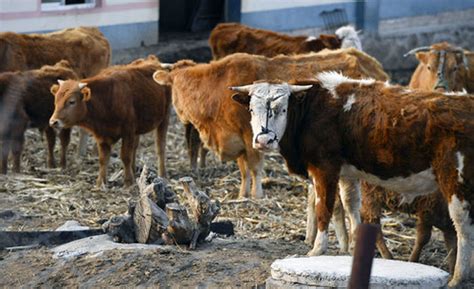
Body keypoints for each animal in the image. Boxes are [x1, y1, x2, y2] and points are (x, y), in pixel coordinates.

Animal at [50, 56, 171, 187]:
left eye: (71, 101)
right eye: (56, 100)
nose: (53, 122)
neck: (106, 98)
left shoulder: (128, 131)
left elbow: (125, 156)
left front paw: (128, 182)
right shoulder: (102, 136)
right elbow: (103, 159)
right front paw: (100, 183)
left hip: (164, 118)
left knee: (160, 147)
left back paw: (162, 174)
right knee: (135, 148)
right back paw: (134, 171)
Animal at [154, 48, 386, 199]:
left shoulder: (252, 136)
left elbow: (255, 167)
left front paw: (256, 195)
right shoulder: (240, 140)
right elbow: (244, 170)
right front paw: (243, 194)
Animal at [231, 72, 474, 286]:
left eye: (282, 109)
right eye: (251, 109)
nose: (263, 141)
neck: (313, 108)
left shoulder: (324, 168)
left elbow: (324, 208)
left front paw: (317, 249)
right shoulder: (347, 174)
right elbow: (351, 206)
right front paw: (356, 247)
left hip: (455, 179)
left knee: (463, 226)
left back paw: (458, 277)